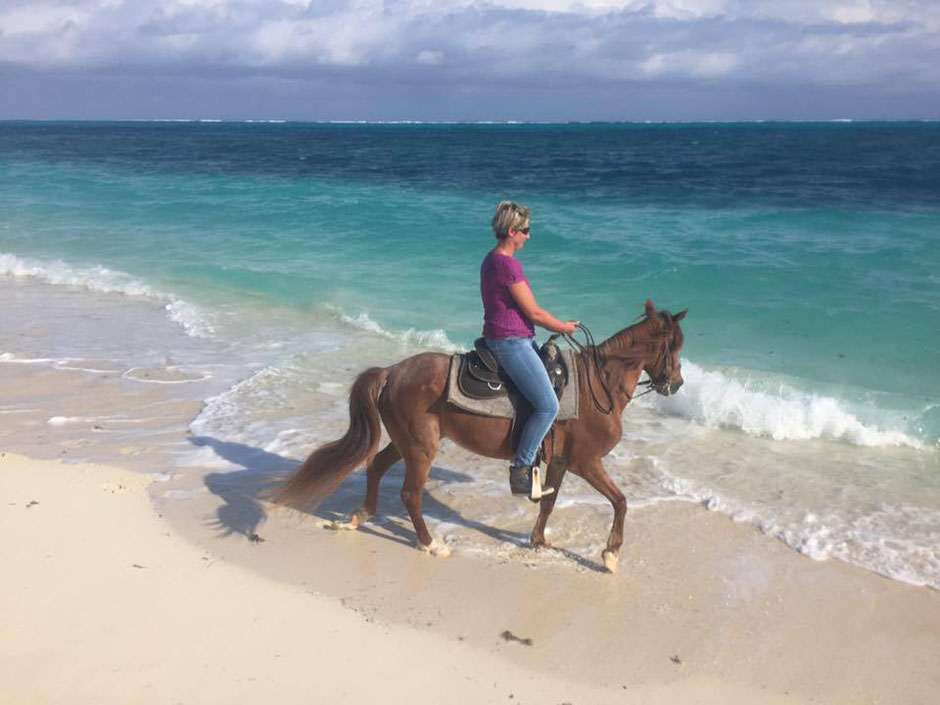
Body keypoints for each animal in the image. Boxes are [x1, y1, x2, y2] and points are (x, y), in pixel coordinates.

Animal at [270, 298, 684, 572]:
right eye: (675, 346)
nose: (677, 384)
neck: (597, 386)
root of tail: (392, 371)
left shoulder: (562, 460)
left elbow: (549, 502)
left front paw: (538, 541)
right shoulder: (587, 462)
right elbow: (621, 501)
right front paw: (610, 554)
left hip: (407, 443)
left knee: (376, 468)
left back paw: (359, 517)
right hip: (421, 448)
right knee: (410, 494)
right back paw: (430, 544)